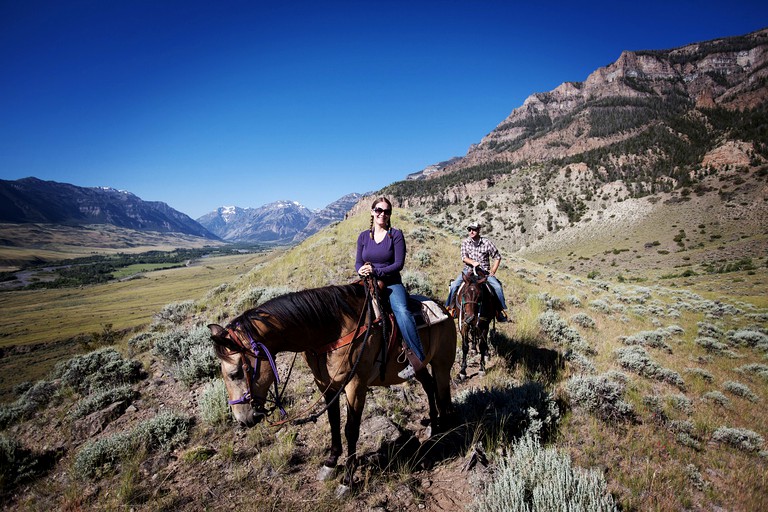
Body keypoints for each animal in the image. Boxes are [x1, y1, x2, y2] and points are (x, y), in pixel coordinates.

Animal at [208, 280, 456, 488]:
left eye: (236, 373)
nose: (243, 420)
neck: (332, 332)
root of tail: (444, 308)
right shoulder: (326, 385)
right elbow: (333, 422)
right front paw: (331, 462)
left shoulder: (356, 385)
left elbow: (351, 429)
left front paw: (347, 478)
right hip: (421, 366)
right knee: (429, 387)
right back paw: (433, 426)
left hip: (442, 364)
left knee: (443, 394)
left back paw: (442, 436)